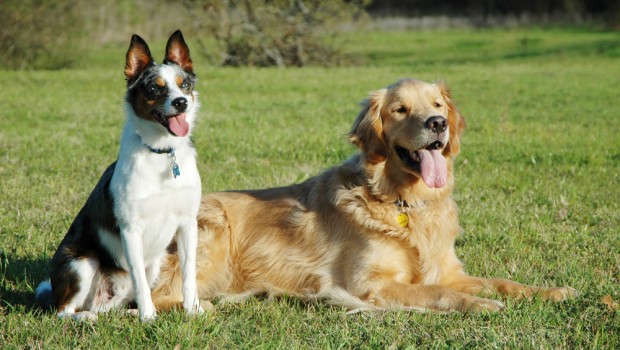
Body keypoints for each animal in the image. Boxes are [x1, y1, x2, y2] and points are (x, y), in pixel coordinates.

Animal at [36, 30, 203, 322]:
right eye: (154, 88)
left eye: (184, 85)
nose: (181, 102)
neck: (161, 152)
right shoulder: (131, 230)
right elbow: (140, 281)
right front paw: (149, 319)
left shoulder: (187, 224)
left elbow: (188, 276)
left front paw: (193, 310)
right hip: (82, 263)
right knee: (62, 311)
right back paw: (87, 317)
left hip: (155, 262)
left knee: (114, 305)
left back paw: (127, 313)